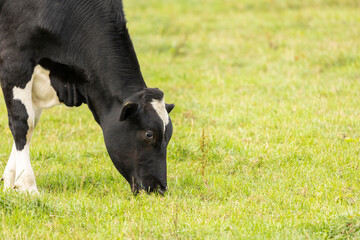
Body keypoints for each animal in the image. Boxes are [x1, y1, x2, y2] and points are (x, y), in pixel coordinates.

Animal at [0, 0, 174, 195]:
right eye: (149, 134)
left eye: (169, 136)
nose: (160, 188)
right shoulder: (15, 60)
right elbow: (23, 123)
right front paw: (27, 185)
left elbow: (32, 124)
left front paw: (10, 182)